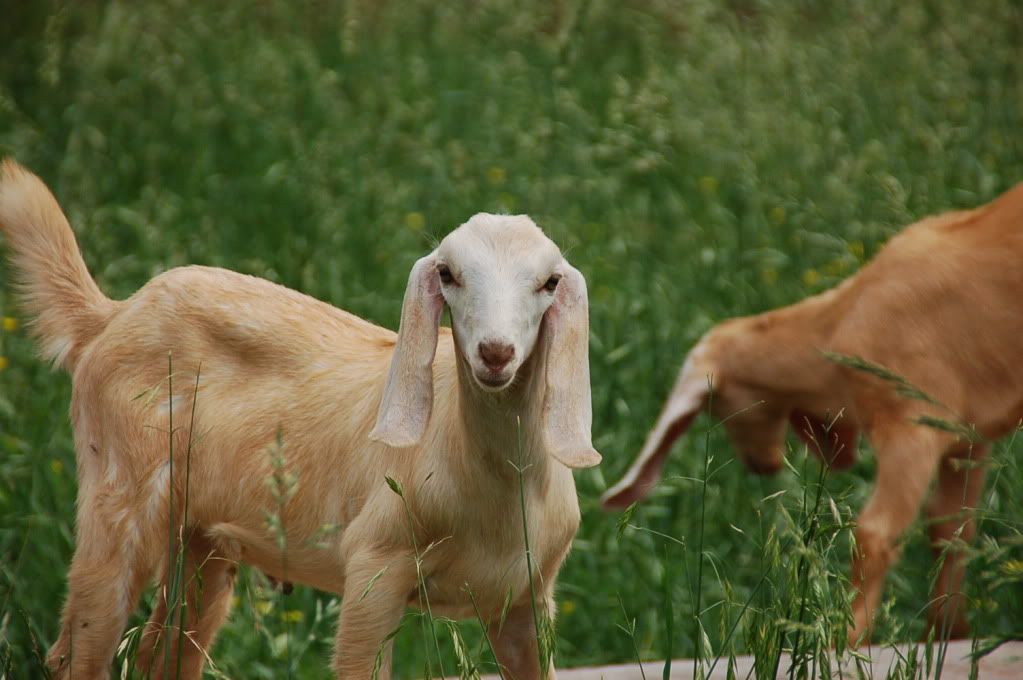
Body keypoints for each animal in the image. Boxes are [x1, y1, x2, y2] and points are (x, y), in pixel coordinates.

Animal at [0, 160, 601, 679]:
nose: (495, 354)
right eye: (448, 274)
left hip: (202, 540)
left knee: (163, 656)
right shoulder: (373, 570)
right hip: (119, 493)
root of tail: (112, 315)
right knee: (78, 655)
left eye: (550, 282)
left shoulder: (526, 604)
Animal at [602, 183, 1023, 644]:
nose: (761, 465)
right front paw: (949, 635)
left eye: (719, 404)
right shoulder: (966, 436)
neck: (841, 323)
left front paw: (848, 639)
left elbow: (875, 532)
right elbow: (953, 530)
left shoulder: (912, 427)